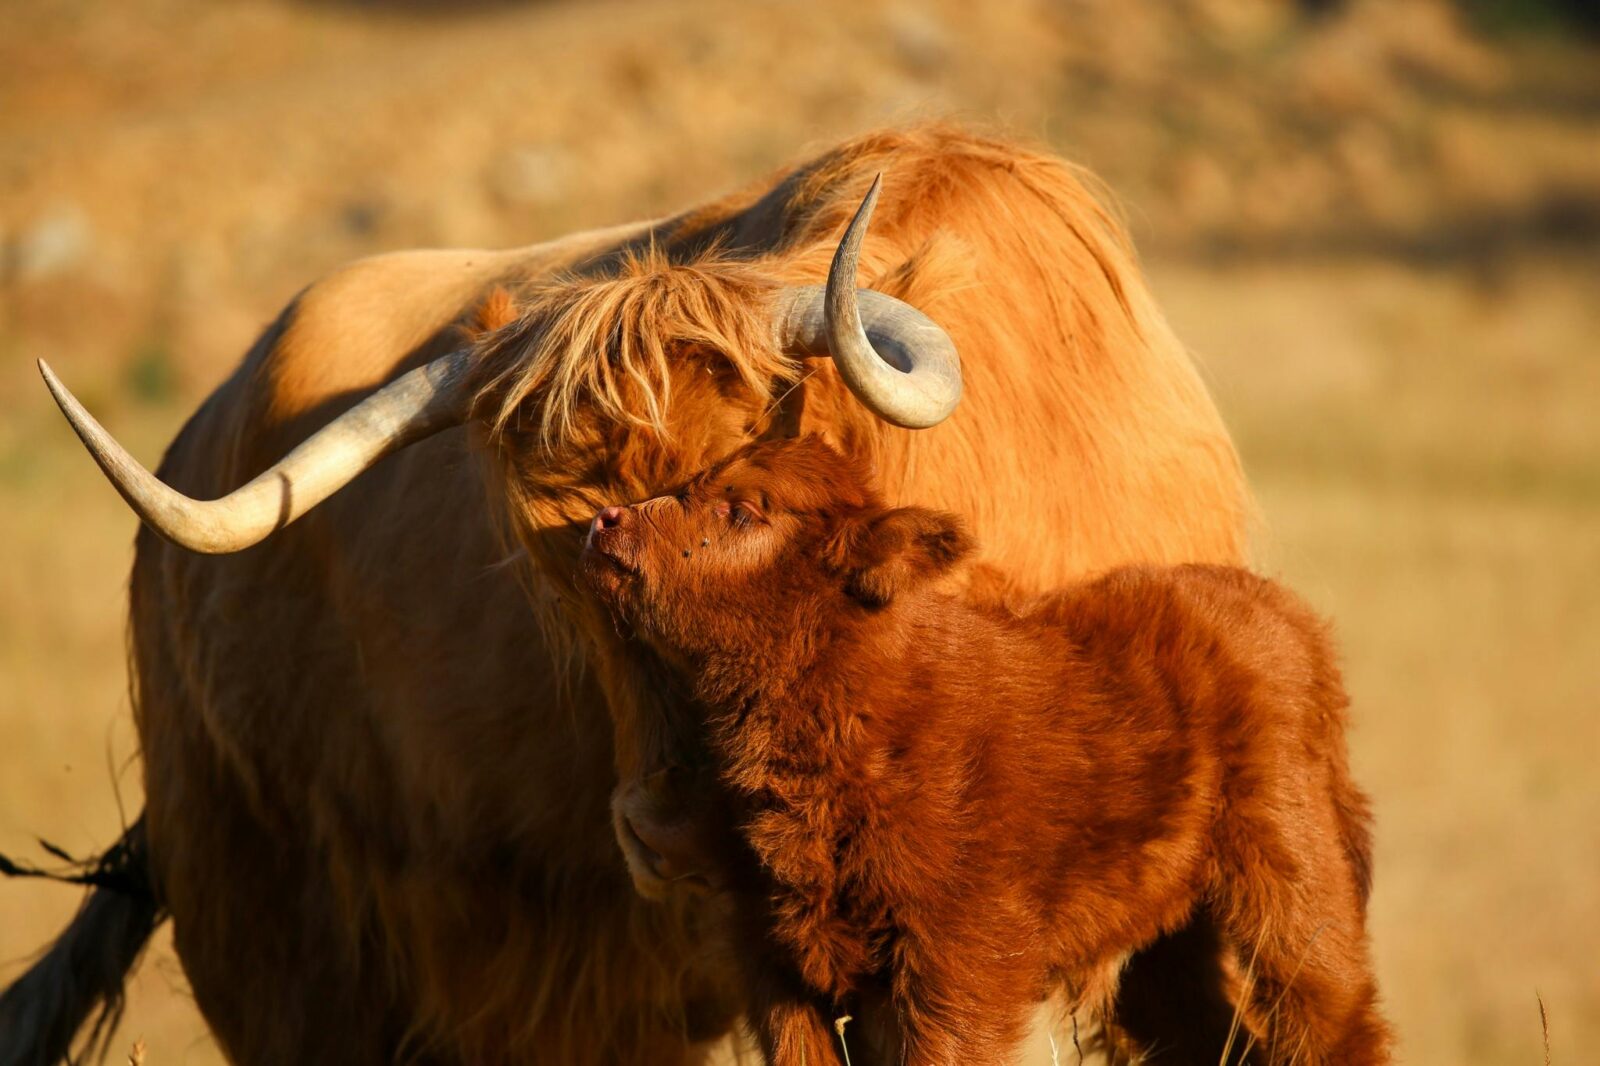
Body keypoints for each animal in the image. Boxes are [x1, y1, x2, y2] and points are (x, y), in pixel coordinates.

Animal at [580, 434, 1390, 1066]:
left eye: (745, 509)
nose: (606, 522)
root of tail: (1290, 617)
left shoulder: (961, 961)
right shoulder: (776, 960)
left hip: (1294, 875)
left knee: (1335, 1018)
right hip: (1167, 934)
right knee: (1211, 1034)